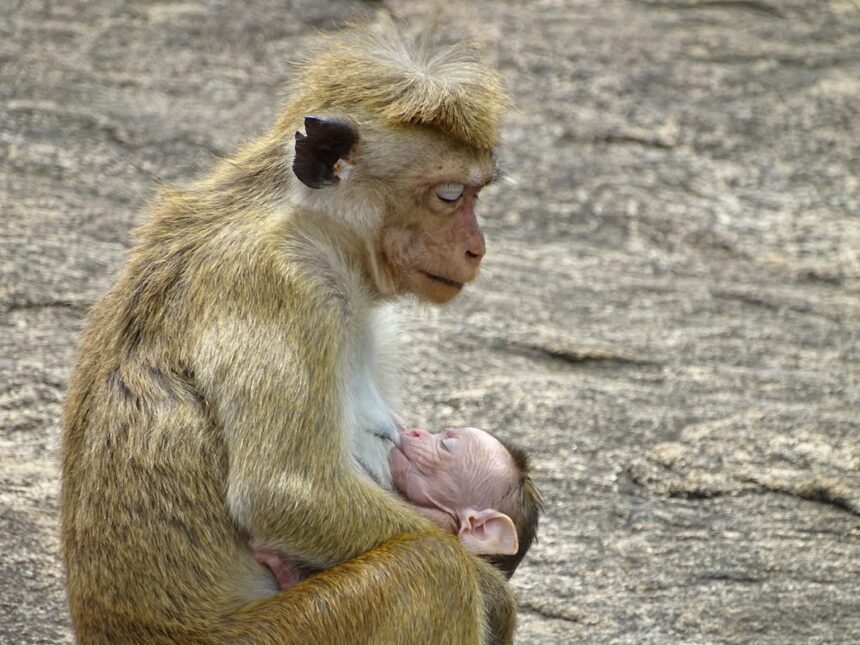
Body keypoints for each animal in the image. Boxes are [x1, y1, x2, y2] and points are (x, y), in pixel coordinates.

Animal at [60, 21, 518, 644]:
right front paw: (494, 590)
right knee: (433, 569)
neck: (313, 225)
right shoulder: (283, 284)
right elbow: (286, 492)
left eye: (476, 194)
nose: (477, 248)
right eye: (450, 195)